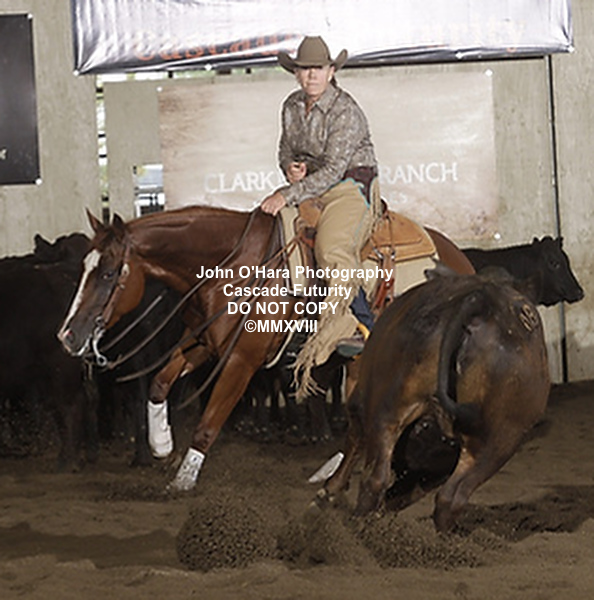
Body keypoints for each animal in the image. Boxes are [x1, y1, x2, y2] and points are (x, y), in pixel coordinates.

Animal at [58, 205, 473, 491]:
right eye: (83, 268)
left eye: (108, 273)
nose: (68, 336)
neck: (233, 266)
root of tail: (461, 262)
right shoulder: (205, 342)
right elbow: (160, 382)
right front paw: (161, 444)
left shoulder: (242, 360)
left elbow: (208, 424)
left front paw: (183, 481)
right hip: (363, 362)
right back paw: (330, 473)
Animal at [316, 267, 550, 532]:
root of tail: (481, 299)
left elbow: (355, 439)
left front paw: (330, 491)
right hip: (499, 441)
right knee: (450, 498)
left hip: (390, 411)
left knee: (376, 478)